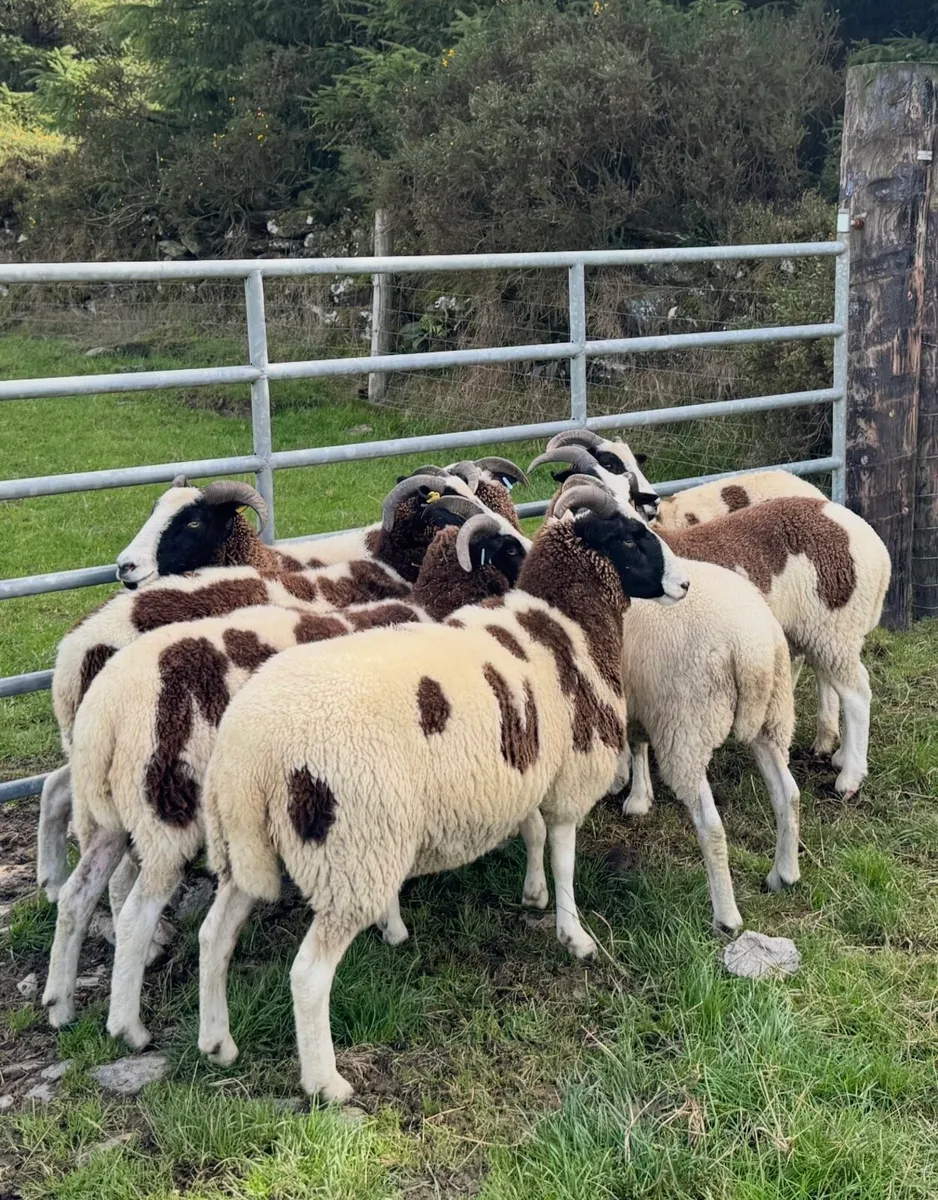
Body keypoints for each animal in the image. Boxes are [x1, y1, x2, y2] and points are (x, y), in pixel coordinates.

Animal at [41, 501, 531, 1046]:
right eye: (507, 548)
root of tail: (101, 701)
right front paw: (393, 925)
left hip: (109, 799)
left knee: (77, 878)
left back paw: (60, 995)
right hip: (165, 807)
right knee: (133, 908)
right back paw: (131, 1022)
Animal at [196, 482, 690, 1100]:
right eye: (627, 537)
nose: (685, 584)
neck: (569, 623)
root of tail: (250, 752)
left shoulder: (525, 765)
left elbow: (532, 836)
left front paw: (533, 894)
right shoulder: (569, 774)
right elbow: (565, 858)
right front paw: (574, 936)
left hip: (245, 847)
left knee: (213, 938)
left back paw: (217, 1043)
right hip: (350, 853)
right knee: (308, 975)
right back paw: (326, 1083)